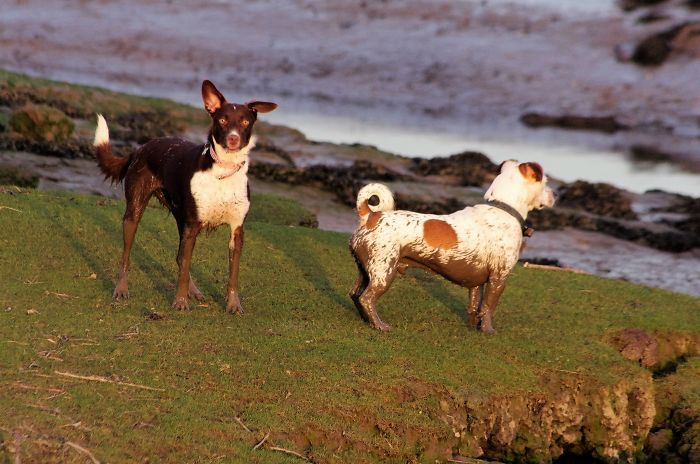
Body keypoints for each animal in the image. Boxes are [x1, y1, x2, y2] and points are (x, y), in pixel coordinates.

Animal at [352, 160, 556, 334]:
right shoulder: (499, 277)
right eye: (545, 182)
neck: (504, 208)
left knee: (355, 295)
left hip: (365, 271)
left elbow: (474, 306)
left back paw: (366, 320)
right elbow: (488, 306)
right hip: (384, 272)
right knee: (367, 298)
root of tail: (370, 217)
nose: (555, 195)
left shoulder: (476, 282)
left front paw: (473, 328)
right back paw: (379, 325)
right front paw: (488, 331)